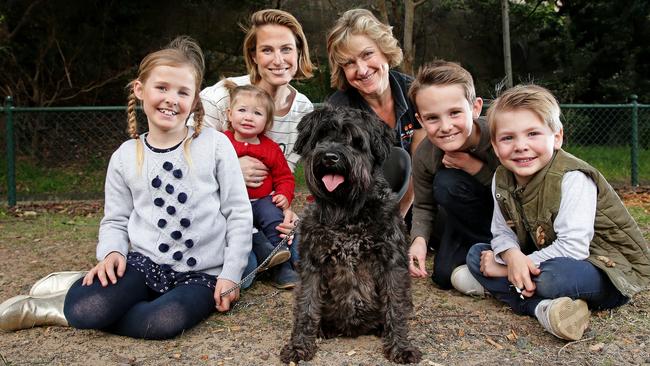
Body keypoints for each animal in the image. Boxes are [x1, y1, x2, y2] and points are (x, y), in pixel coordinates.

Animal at [278, 105, 420, 364]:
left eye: (355, 140)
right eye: (322, 136)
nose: (330, 157)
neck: (346, 213)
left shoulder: (391, 262)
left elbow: (395, 305)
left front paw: (401, 346)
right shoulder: (312, 264)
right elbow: (306, 306)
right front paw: (299, 346)